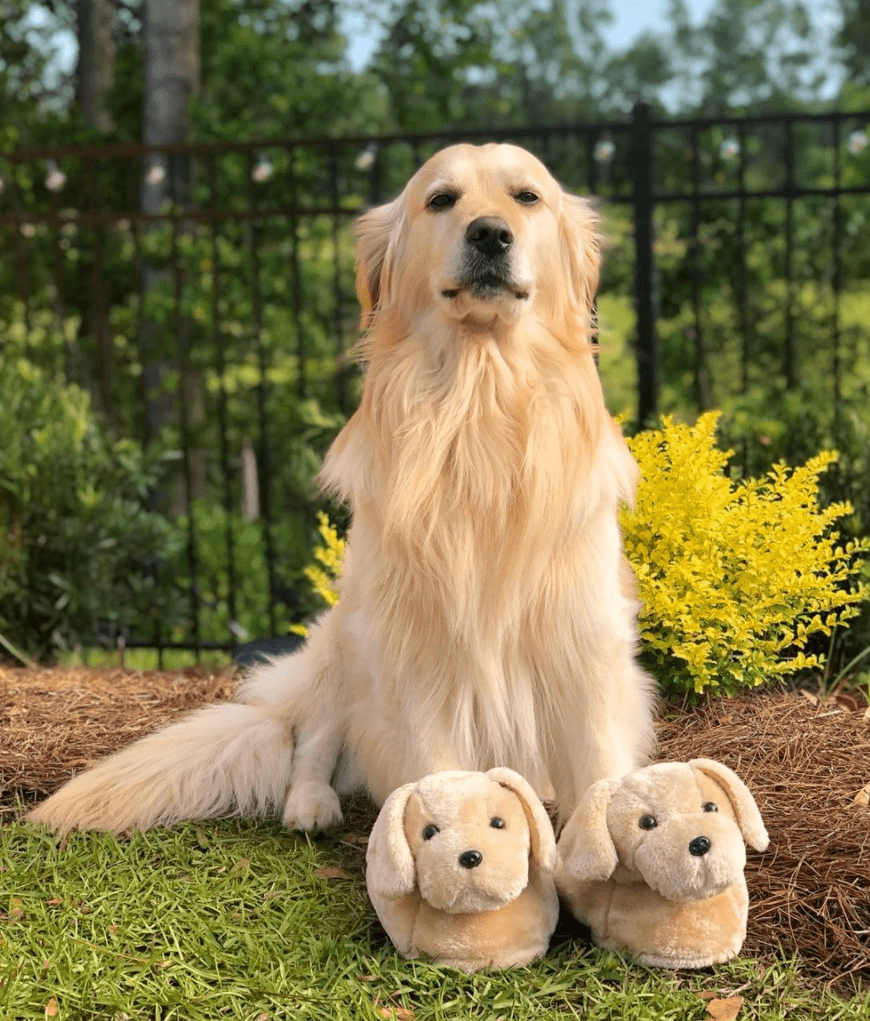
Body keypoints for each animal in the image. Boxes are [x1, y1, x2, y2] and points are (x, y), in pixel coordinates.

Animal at [25, 143, 653, 833]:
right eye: (441, 199)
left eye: (527, 197)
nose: (490, 233)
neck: (479, 401)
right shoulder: (409, 650)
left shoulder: (585, 643)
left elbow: (598, 769)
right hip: (343, 642)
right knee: (309, 741)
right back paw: (311, 804)